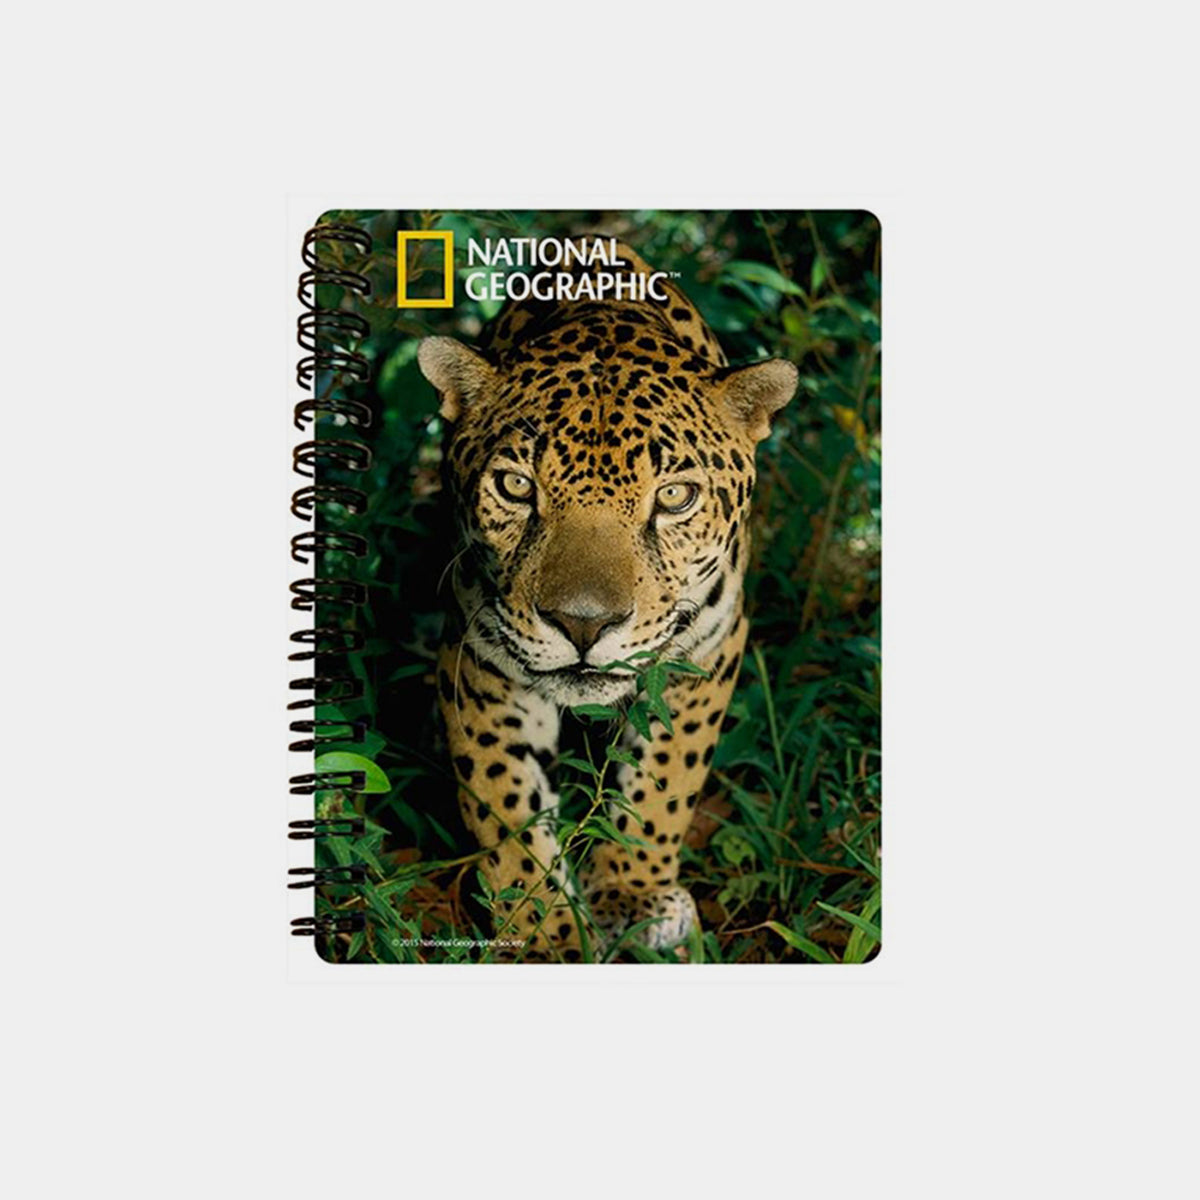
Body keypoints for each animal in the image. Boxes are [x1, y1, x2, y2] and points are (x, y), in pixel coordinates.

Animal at [417, 238, 797, 962]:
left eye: (674, 496)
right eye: (515, 487)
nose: (583, 625)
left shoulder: (706, 650)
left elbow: (664, 783)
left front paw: (632, 893)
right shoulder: (478, 659)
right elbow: (506, 812)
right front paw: (543, 937)